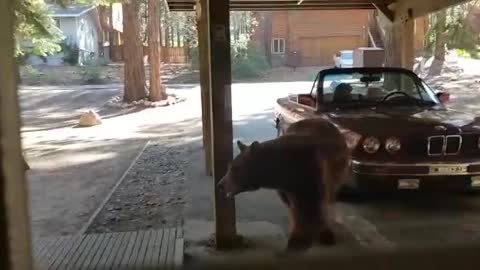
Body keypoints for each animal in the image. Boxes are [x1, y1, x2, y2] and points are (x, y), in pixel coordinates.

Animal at [217, 117, 348, 251]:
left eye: (235, 168)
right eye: (229, 166)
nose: (220, 185)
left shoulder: (310, 173)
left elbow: (310, 209)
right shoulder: (288, 189)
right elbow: (298, 210)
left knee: (328, 197)